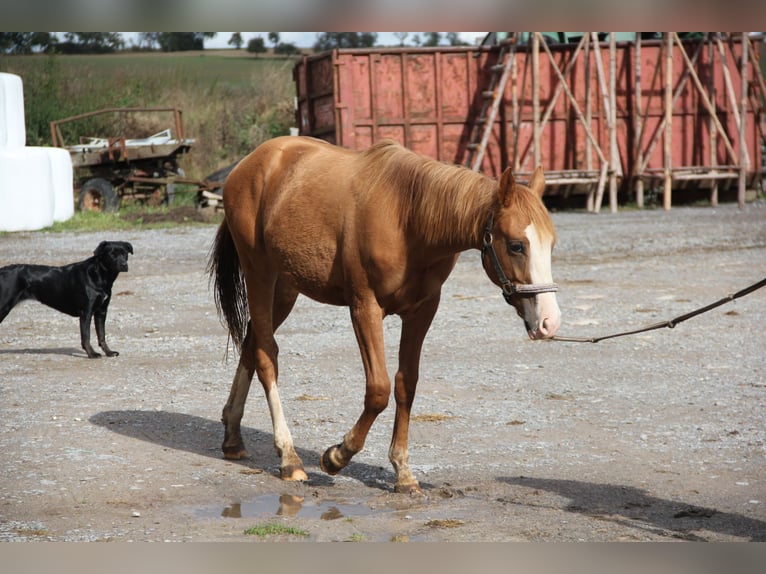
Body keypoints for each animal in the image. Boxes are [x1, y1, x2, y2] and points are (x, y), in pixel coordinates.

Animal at [0, 242, 134, 360]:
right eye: (112, 254)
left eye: (124, 253)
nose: (124, 265)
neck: (99, 275)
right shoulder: (86, 312)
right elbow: (86, 336)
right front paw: (92, 354)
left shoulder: (101, 311)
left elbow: (102, 335)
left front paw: (109, 352)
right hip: (3, 307)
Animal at [207, 136, 560, 496]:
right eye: (516, 245)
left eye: (551, 244)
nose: (549, 322)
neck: (408, 219)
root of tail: (251, 163)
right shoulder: (365, 307)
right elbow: (378, 390)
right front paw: (337, 456)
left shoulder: (422, 311)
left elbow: (406, 385)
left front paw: (402, 471)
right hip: (259, 274)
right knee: (266, 355)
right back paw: (289, 457)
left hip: (285, 288)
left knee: (251, 343)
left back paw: (233, 437)